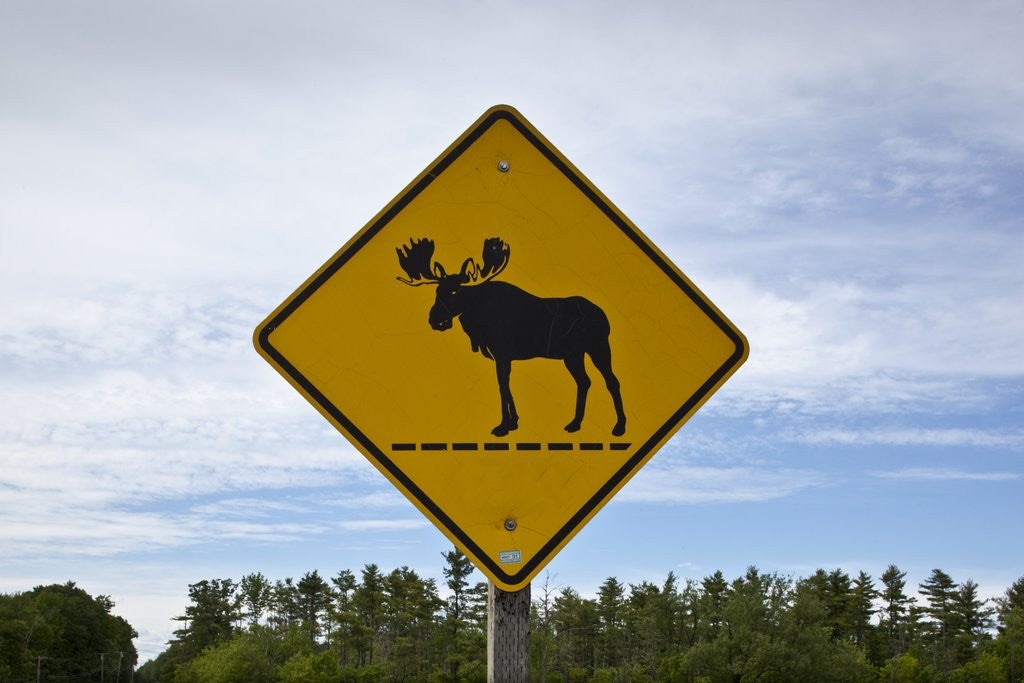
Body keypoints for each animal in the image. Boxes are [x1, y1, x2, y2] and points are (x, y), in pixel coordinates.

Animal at [396, 237, 626, 438]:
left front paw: (503, 426)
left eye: (454, 291)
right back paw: (575, 423)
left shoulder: (503, 355)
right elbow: (507, 389)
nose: (435, 319)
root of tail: (604, 315)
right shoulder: (501, 357)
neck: (478, 322)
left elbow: (502, 388)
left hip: (598, 347)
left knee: (612, 381)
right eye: (437, 291)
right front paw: (514, 422)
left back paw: (619, 427)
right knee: (584, 382)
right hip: (573, 355)